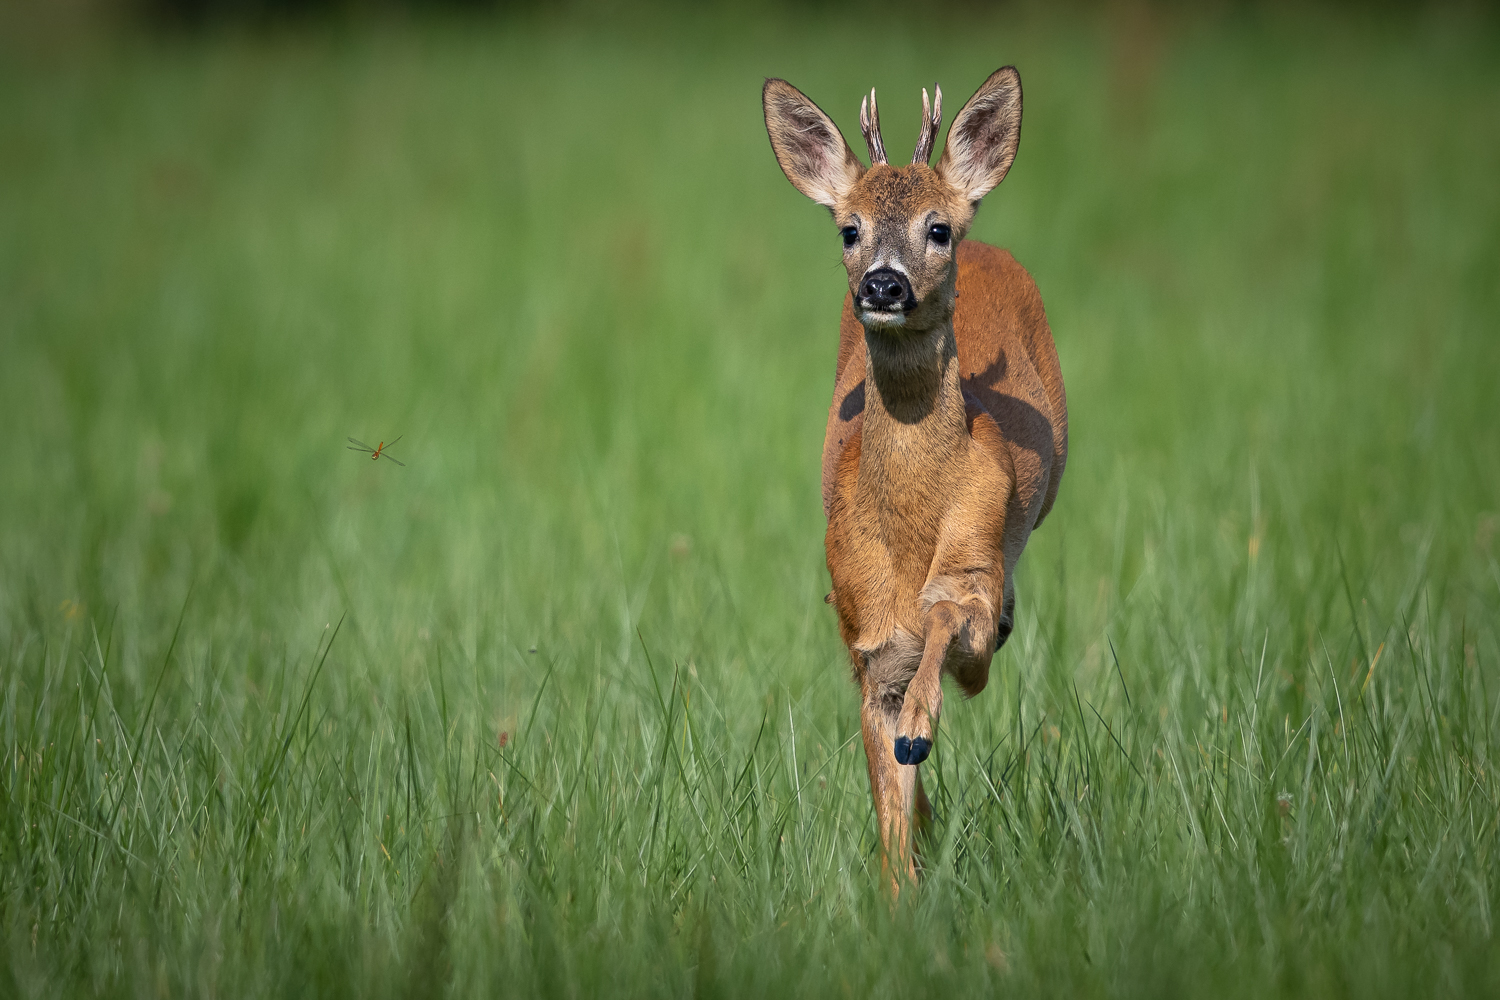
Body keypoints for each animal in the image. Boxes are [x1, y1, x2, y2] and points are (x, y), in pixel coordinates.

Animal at [762, 66, 1068, 893]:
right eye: (848, 228)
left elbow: (950, 617)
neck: (907, 533)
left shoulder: (972, 567)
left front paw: (924, 725)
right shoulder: (864, 640)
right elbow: (888, 804)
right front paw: (902, 892)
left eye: (937, 228)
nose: (884, 285)